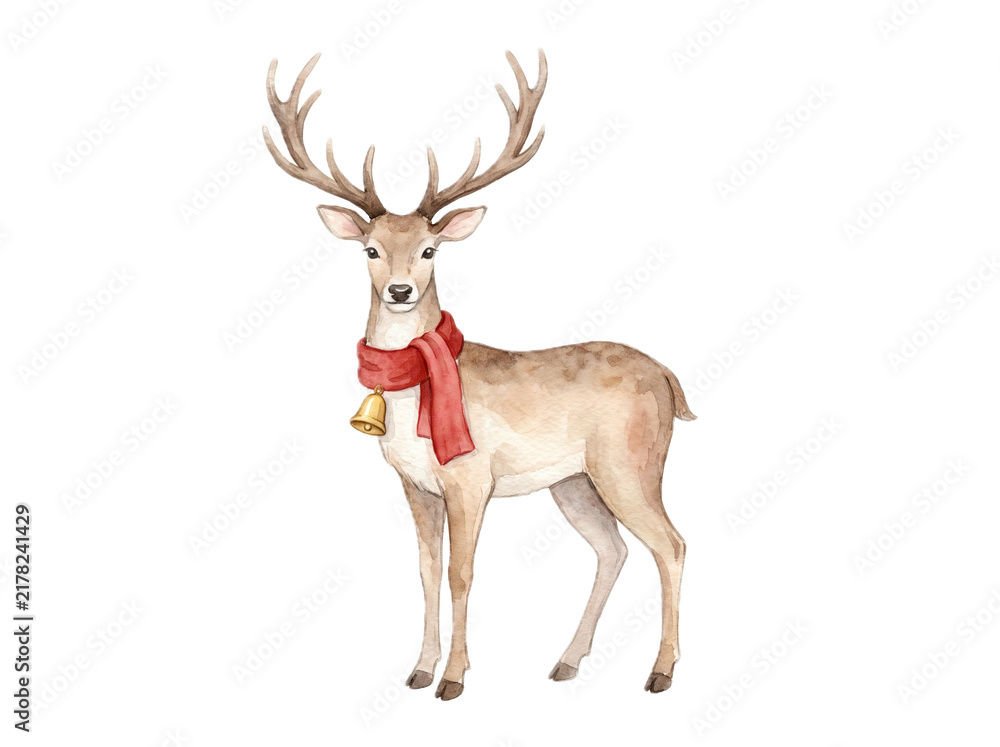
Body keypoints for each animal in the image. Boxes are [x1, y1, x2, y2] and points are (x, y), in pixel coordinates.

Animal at [263, 49, 695, 701]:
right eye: (369, 249)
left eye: (430, 249)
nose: (399, 291)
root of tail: (670, 378)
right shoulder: (416, 485)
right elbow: (425, 570)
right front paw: (418, 670)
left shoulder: (470, 478)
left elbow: (461, 572)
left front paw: (454, 679)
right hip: (575, 482)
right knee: (613, 549)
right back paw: (566, 662)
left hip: (631, 462)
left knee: (670, 543)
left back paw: (661, 673)